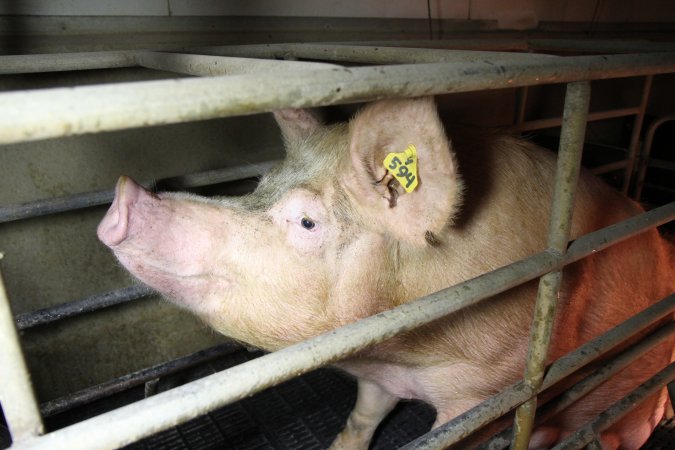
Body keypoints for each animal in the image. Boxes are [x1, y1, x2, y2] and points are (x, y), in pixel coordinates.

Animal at [96, 96, 675, 448]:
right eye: (259, 184)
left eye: (307, 221)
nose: (125, 193)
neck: (409, 352)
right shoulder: (380, 374)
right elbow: (363, 416)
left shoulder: (492, 390)